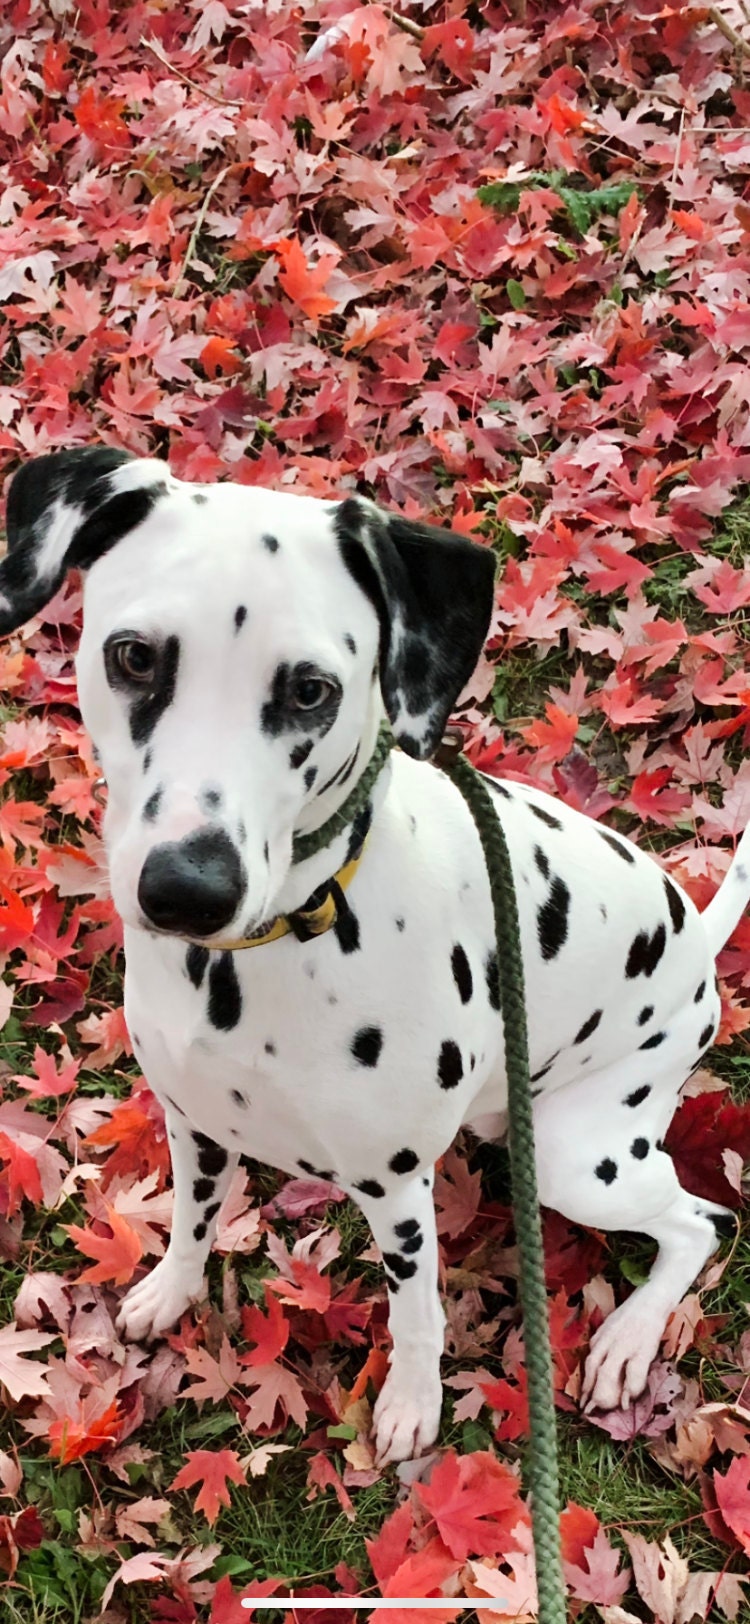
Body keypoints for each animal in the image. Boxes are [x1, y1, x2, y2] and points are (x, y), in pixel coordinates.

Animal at [1, 451, 743, 1468]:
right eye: (135, 656)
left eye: (311, 689)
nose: (187, 888)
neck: (261, 957)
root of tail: (697, 936)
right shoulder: (193, 1125)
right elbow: (192, 1223)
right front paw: (170, 1291)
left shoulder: (394, 1186)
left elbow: (417, 1309)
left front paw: (411, 1405)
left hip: (580, 1154)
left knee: (701, 1222)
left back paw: (630, 1335)